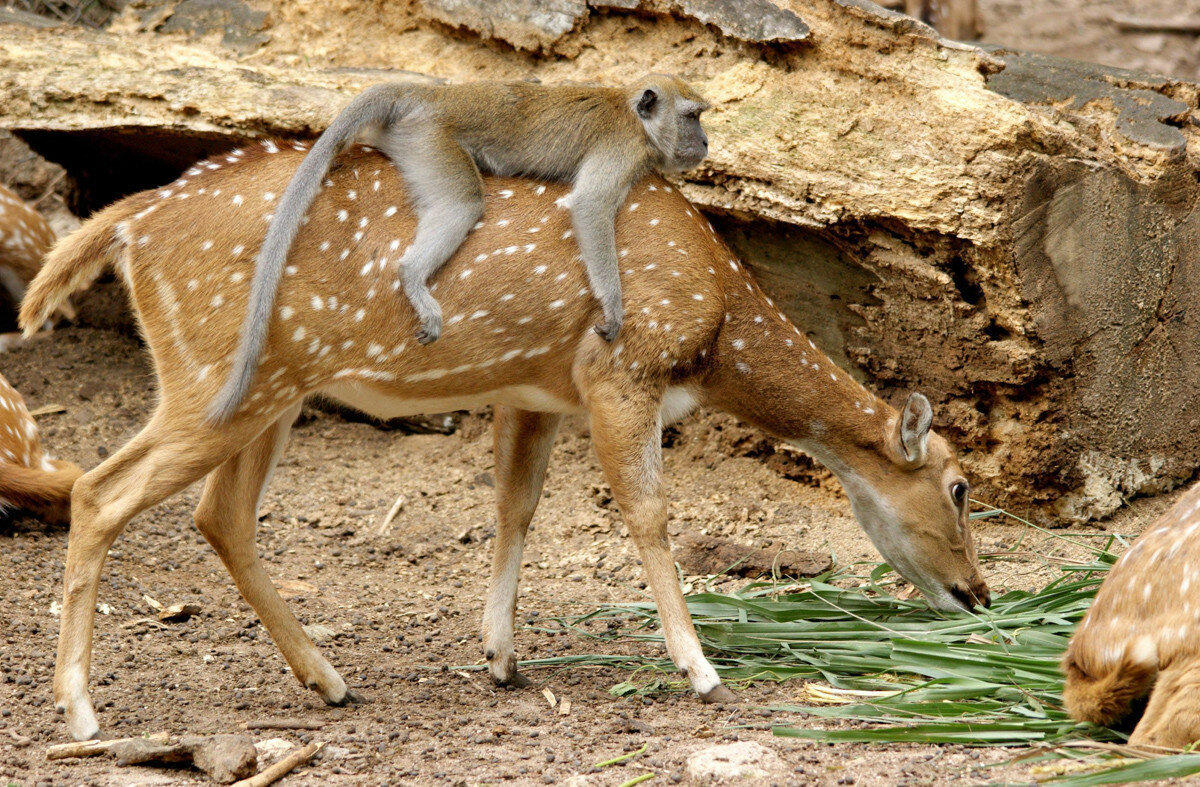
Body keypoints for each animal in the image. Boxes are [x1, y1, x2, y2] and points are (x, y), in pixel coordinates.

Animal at [23, 138, 988, 739]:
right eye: (959, 488)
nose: (979, 595)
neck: (718, 324)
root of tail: (130, 222)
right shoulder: (620, 368)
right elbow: (648, 515)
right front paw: (701, 668)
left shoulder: (536, 391)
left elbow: (515, 506)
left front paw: (500, 658)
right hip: (219, 373)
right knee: (99, 488)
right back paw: (81, 711)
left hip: (269, 390)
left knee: (218, 514)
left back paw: (329, 680)